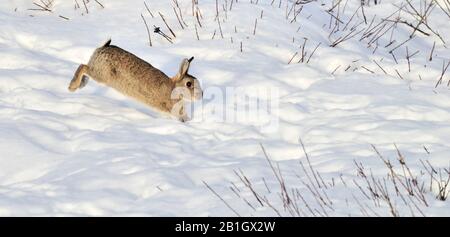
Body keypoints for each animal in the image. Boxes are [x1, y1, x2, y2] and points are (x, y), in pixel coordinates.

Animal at [67, 39, 203, 122]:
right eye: (189, 84)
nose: (201, 95)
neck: (174, 88)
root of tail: (103, 47)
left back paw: (81, 84)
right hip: (102, 75)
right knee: (83, 67)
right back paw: (72, 87)